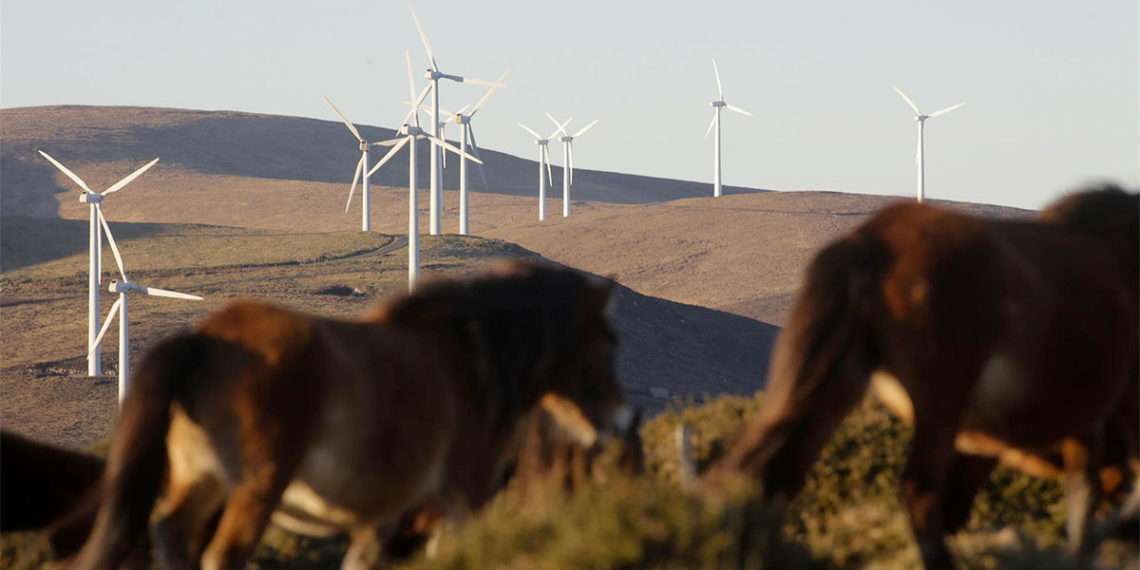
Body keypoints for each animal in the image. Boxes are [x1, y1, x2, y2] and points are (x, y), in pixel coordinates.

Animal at [72, 261, 638, 570]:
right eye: (609, 341)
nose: (620, 417)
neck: (472, 356)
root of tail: (202, 341)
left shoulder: (384, 517)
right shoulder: (462, 495)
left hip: (199, 479)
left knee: (171, 537)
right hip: (258, 484)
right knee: (222, 554)